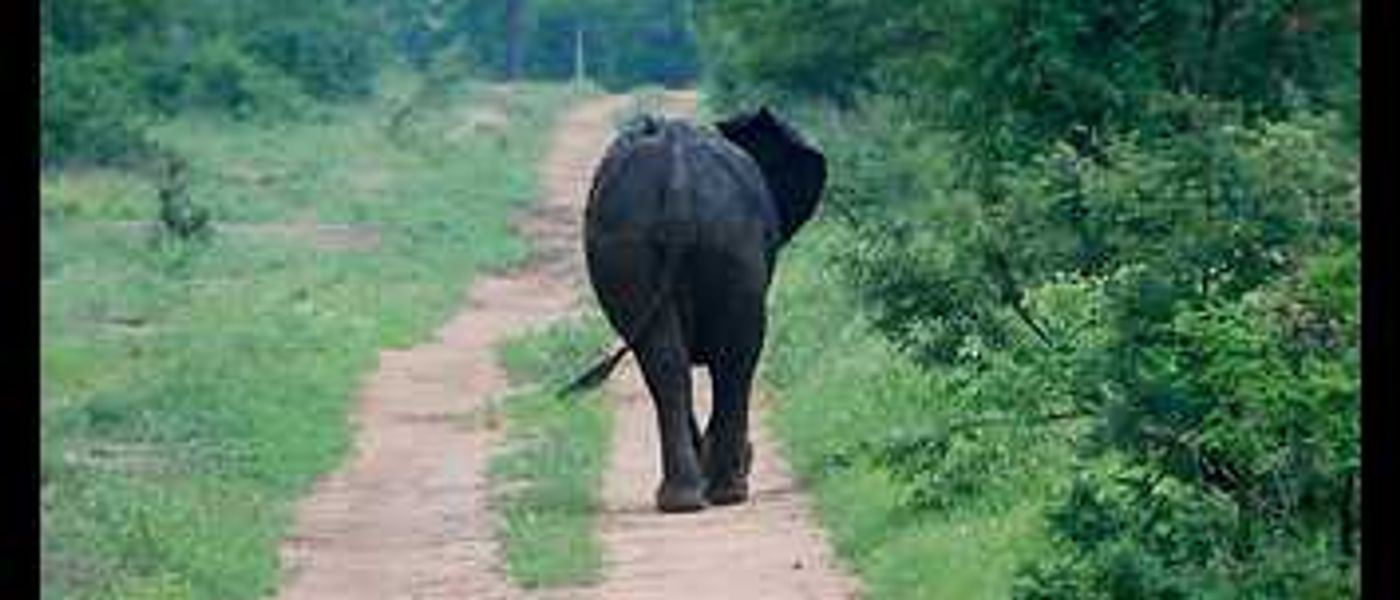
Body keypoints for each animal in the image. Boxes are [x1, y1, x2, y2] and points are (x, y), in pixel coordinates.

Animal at [569, 106, 826, 512]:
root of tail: (677, 180)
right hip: (725, 243)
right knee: (734, 356)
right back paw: (722, 492)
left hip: (656, 242)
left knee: (673, 361)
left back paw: (691, 498)